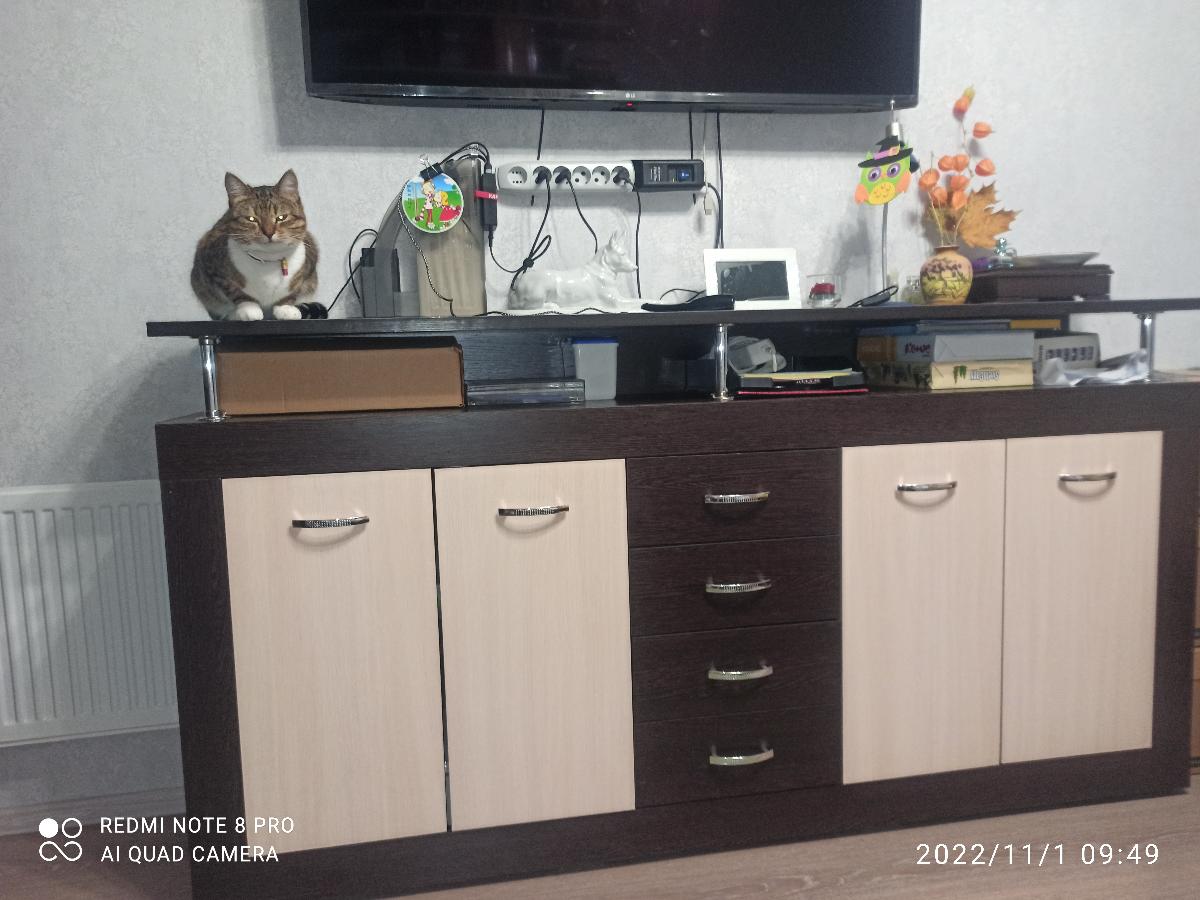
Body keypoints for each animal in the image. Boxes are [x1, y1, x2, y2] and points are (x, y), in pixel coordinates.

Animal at [191, 170, 319, 320]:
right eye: (251, 219)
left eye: (281, 217)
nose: (269, 233)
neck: (269, 261)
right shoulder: (212, 264)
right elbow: (234, 290)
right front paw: (249, 308)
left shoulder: (308, 263)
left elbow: (294, 290)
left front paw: (285, 307)